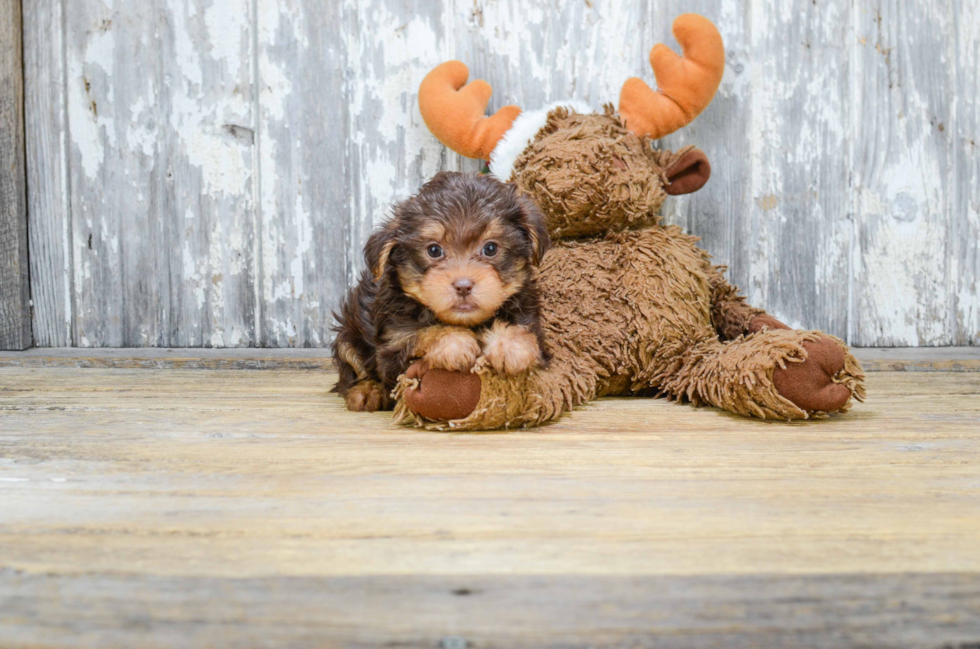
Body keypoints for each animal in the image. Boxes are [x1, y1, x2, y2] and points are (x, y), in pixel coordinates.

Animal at [334, 171, 552, 410]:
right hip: (348, 332)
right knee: (351, 369)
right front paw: (455, 342)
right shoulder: (393, 342)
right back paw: (366, 391)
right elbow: (422, 334)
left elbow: (524, 334)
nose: (463, 285)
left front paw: (511, 345)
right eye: (434, 250)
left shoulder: (528, 319)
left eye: (490, 248)